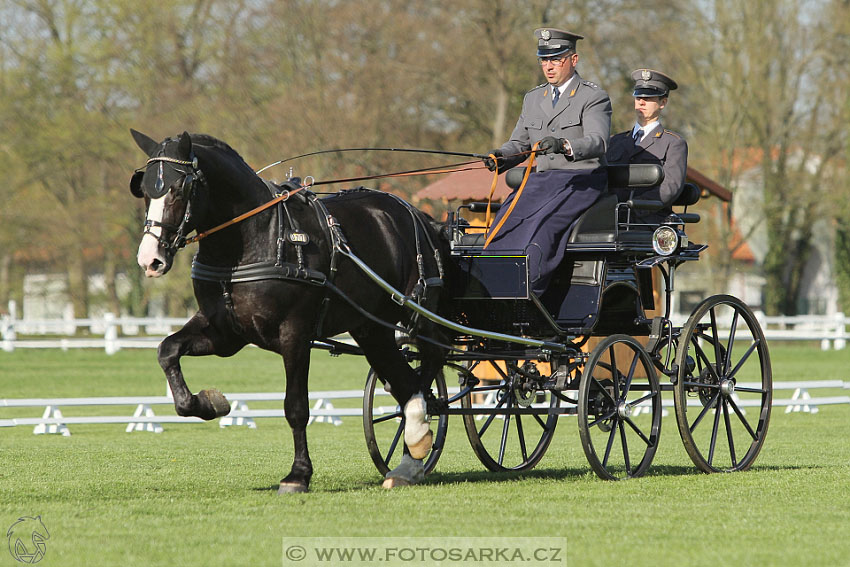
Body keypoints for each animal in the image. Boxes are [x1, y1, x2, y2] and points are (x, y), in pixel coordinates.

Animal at [129, 132, 448, 492]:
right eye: (144, 190)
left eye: (179, 189)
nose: (150, 260)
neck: (255, 238)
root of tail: (420, 216)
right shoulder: (225, 333)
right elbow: (167, 350)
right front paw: (208, 402)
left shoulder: (294, 333)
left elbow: (296, 406)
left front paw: (298, 475)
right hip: (371, 327)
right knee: (402, 380)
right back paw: (411, 455)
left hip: (416, 314)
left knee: (432, 358)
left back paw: (418, 436)